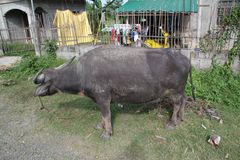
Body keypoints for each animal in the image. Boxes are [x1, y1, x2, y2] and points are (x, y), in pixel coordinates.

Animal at [33, 45, 194, 139]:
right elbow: (102, 116)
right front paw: (101, 126)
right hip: (181, 90)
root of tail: (186, 60)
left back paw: (172, 123)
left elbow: (106, 115)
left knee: (177, 104)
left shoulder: (103, 97)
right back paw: (181, 117)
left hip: (175, 91)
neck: (82, 72)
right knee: (184, 99)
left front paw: (106, 133)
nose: (36, 93)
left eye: (46, 81)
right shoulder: (100, 100)